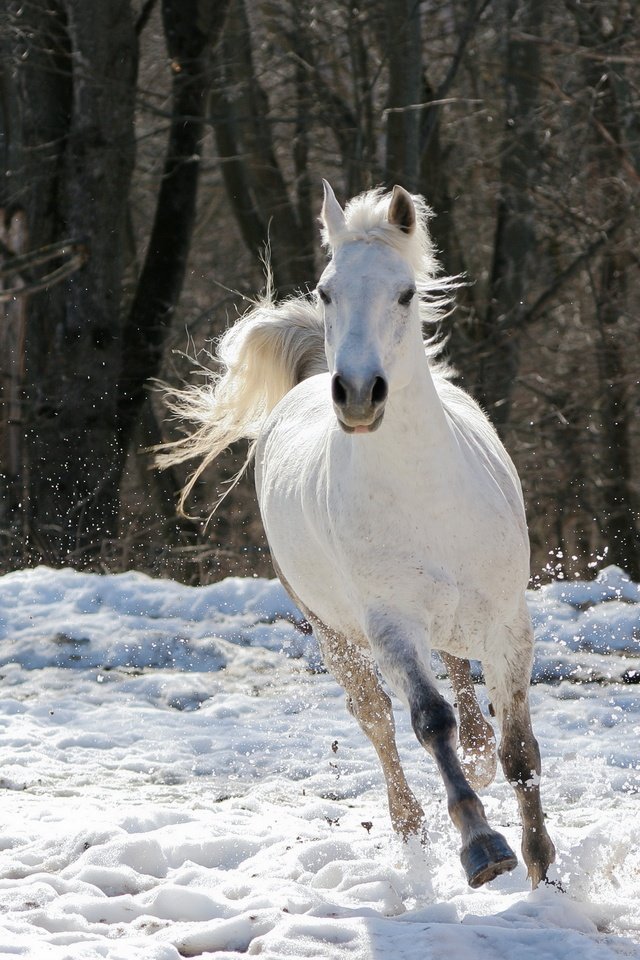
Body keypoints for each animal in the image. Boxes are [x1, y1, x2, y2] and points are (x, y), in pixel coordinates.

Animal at [160, 184, 556, 888]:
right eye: (326, 291)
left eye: (404, 293)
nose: (358, 395)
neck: (425, 491)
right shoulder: (389, 625)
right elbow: (427, 721)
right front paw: (484, 849)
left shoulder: (509, 622)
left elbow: (519, 750)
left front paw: (544, 870)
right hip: (335, 632)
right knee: (378, 721)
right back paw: (411, 826)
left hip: (457, 617)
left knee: (462, 683)